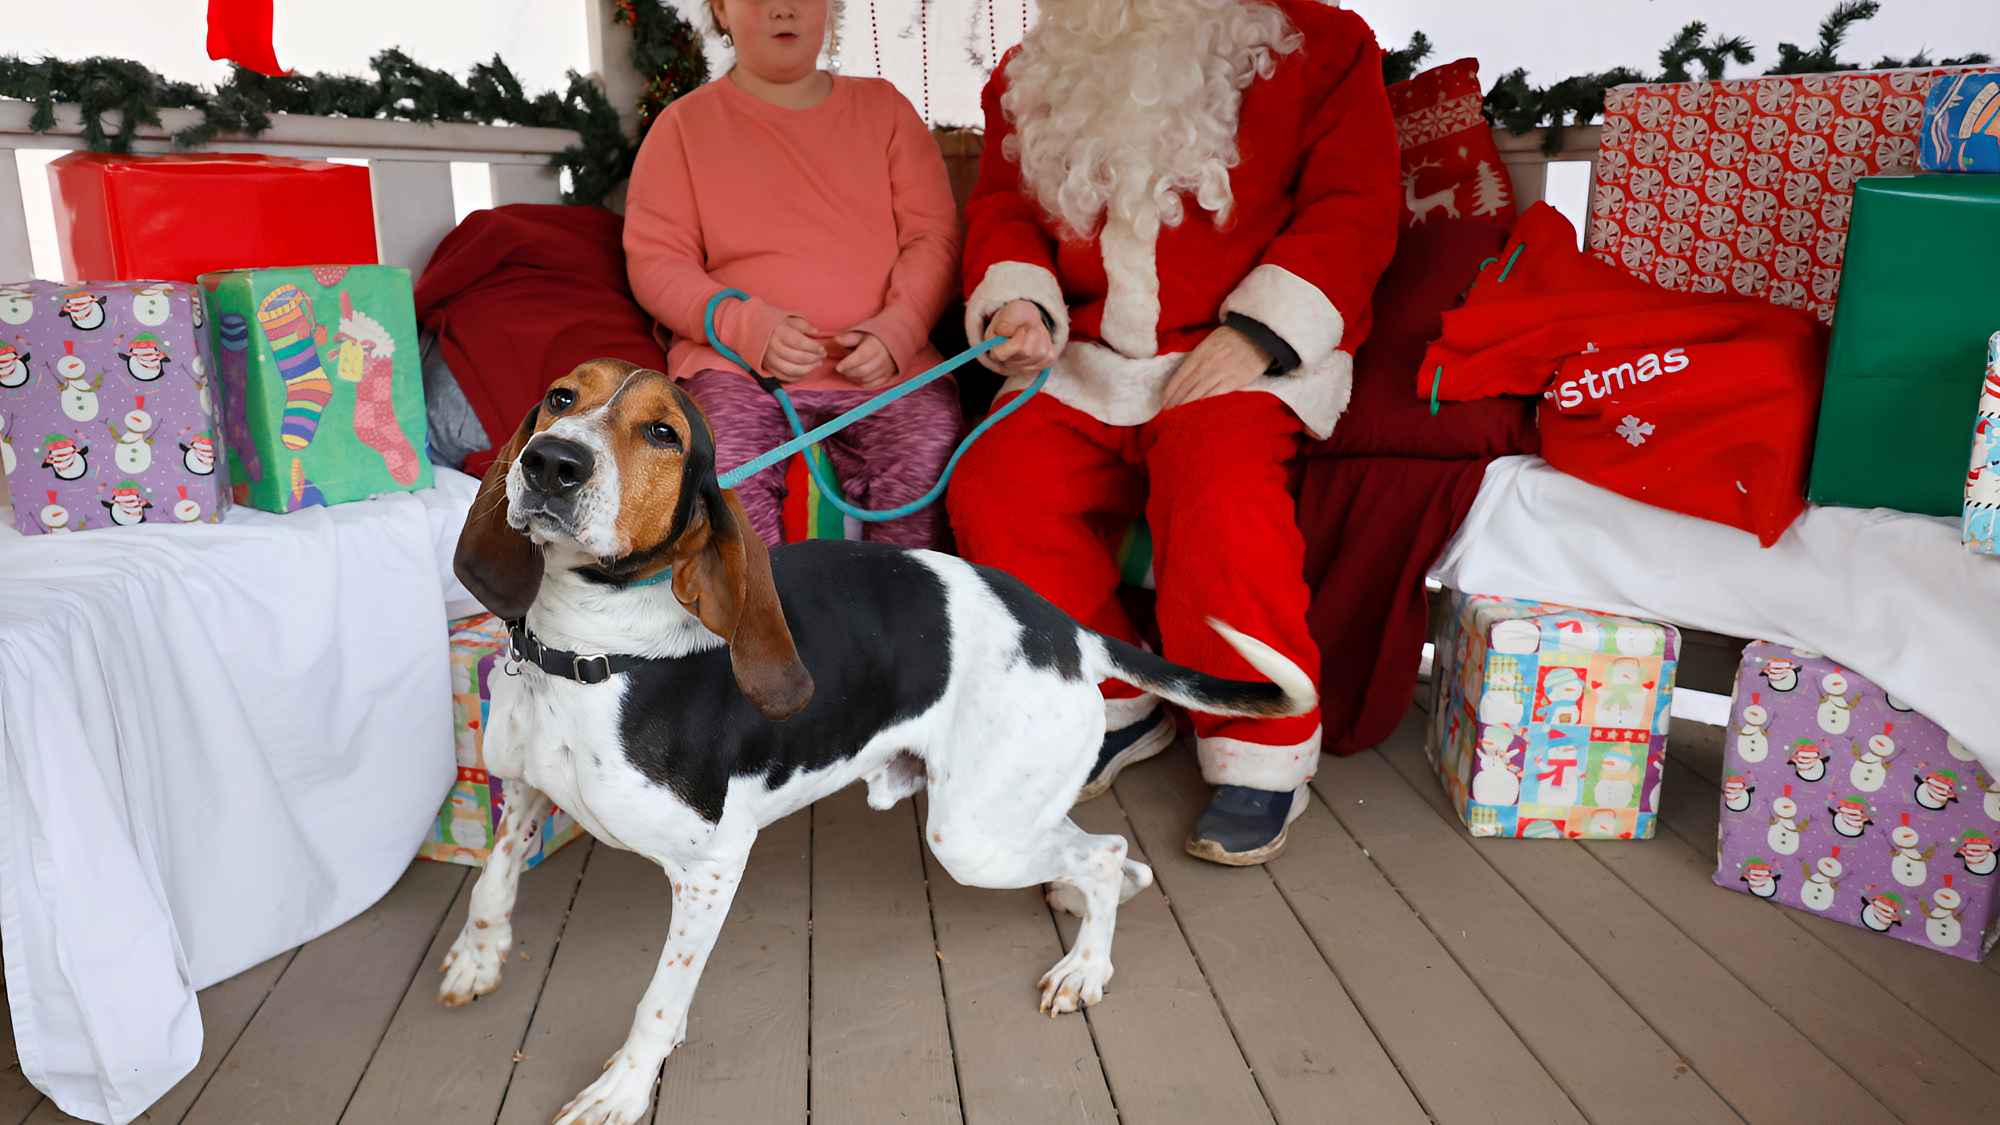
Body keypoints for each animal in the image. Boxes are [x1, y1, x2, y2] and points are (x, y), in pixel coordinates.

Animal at [448, 358, 1320, 1120]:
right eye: (560, 397)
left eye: (663, 431)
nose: (551, 462)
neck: (586, 648)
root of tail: (1070, 630)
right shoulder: (522, 789)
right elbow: (492, 880)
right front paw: (476, 957)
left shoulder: (711, 866)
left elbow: (658, 998)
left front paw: (624, 1088)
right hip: (1003, 815)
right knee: (1105, 854)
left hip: (971, 836)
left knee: (1105, 853)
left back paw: (1086, 967)